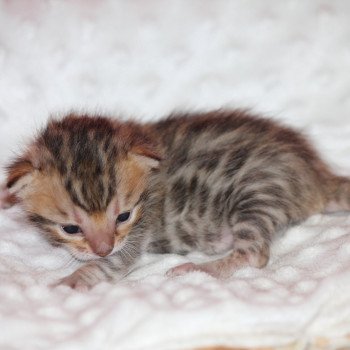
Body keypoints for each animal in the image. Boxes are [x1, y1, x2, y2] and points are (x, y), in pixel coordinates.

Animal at [1, 110, 348, 288]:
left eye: (123, 216)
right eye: (71, 228)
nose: (103, 248)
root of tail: (316, 177)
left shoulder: (136, 233)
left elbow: (112, 264)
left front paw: (70, 282)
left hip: (256, 191)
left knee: (255, 254)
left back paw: (201, 269)